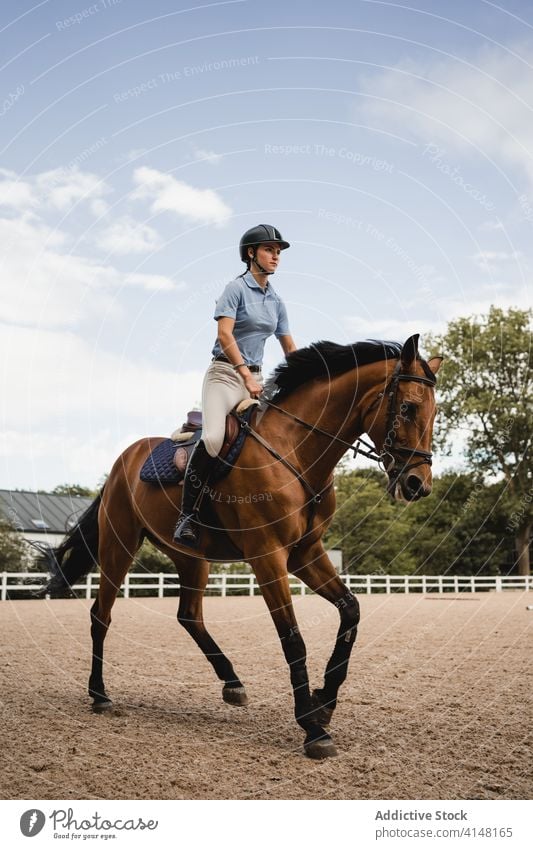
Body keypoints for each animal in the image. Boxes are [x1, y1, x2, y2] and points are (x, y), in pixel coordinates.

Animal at [46, 332, 440, 756]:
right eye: (407, 407)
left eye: (434, 413)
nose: (417, 485)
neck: (295, 450)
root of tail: (123, 461)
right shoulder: (268, 556)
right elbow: (292, 638)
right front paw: (312, 727)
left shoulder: (305, 554)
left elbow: (350, 613)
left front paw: (324, 702)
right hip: (119, 548)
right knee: (101, 615)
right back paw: (99, 694)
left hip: (191, 556)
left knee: (189, 616)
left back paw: (232, 683)